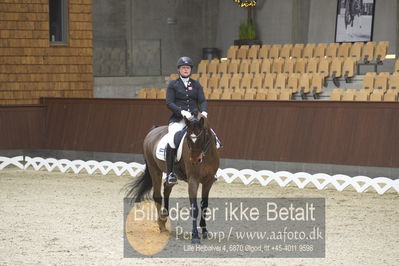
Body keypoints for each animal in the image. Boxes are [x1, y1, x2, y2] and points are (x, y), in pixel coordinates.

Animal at [126, 114, 220, 243]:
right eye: (188, 139)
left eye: (201, 138)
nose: (195, 160)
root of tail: (153, 130)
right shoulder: (193, 180)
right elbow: (194, 208)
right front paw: (195, 236)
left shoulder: (208, 181)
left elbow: (204, 205)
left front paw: (205, 231)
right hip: (154, 169)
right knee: (157, 195)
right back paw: (161, 224)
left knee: (167, 188)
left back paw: (164, 218)